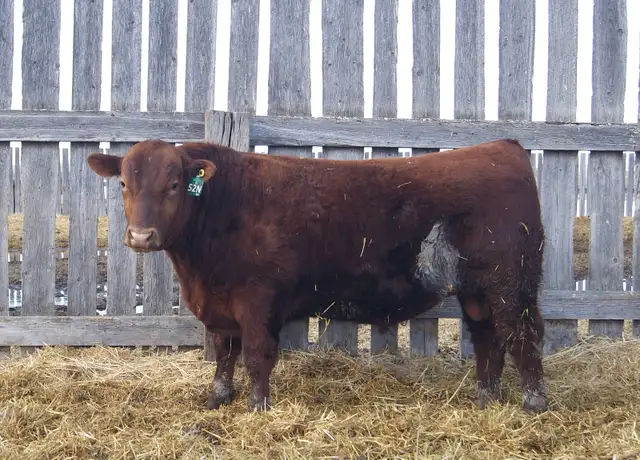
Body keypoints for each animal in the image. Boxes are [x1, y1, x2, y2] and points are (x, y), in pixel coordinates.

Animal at [87, 137, 548, 413]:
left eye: (175, 185)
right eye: (124, 183)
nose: (141, 235)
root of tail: (502, 146)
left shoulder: (257, 298)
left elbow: (256, 354)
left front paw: (258, 406)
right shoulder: (220, 304)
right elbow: (223, 351)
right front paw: (218, 396)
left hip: (512, 283)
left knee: (523, 335)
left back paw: (533, 402)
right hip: (477, 290)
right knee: (488, 336)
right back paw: (485, 397)